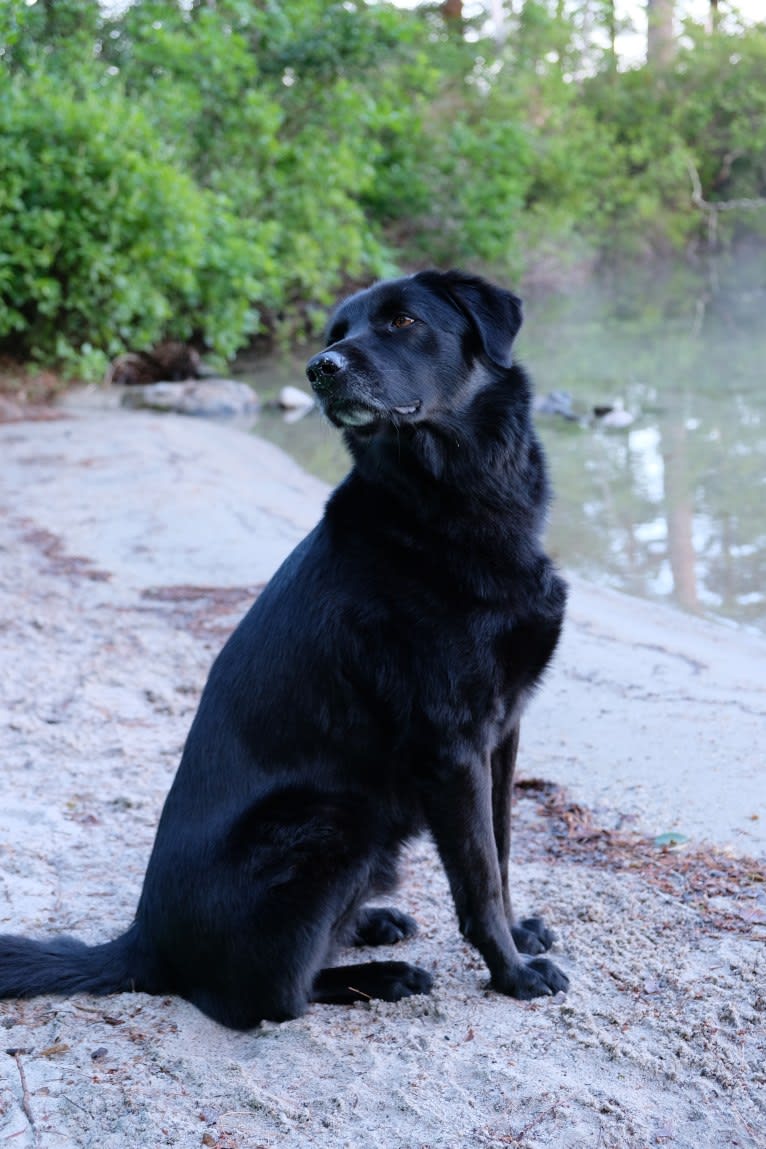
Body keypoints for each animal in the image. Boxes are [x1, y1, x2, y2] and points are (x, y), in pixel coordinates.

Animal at [0, 271, 569, 1034]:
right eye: (336, 334)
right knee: (267, 998)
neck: (445, 506)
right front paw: (512, 973)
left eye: (402, 321)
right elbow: (476, 877)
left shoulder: (503, 732)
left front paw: (519, 932)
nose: (319, 369)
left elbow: (501, 854)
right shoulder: (453, 747)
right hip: (336, 822)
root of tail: (145, 941)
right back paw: (384, 975)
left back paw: (374, 923)